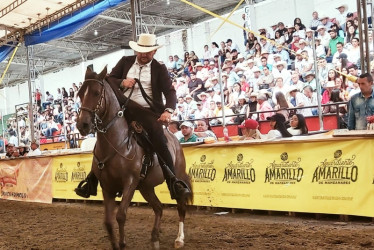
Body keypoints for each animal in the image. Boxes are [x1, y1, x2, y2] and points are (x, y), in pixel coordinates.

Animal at [76, 66, 193, 250]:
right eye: (80, 93)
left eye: (96, 93)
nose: (83, 125)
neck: (117, 143)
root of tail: (173, 138)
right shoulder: (107, 187)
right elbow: (108, 222)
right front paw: (116, 244)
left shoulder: (130, 182)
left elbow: (121, 215)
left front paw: (123, 243)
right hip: (146, 187)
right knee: (158, 208)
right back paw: (154, 238)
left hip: (177, 176)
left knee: (180, 206)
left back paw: (179, 238)